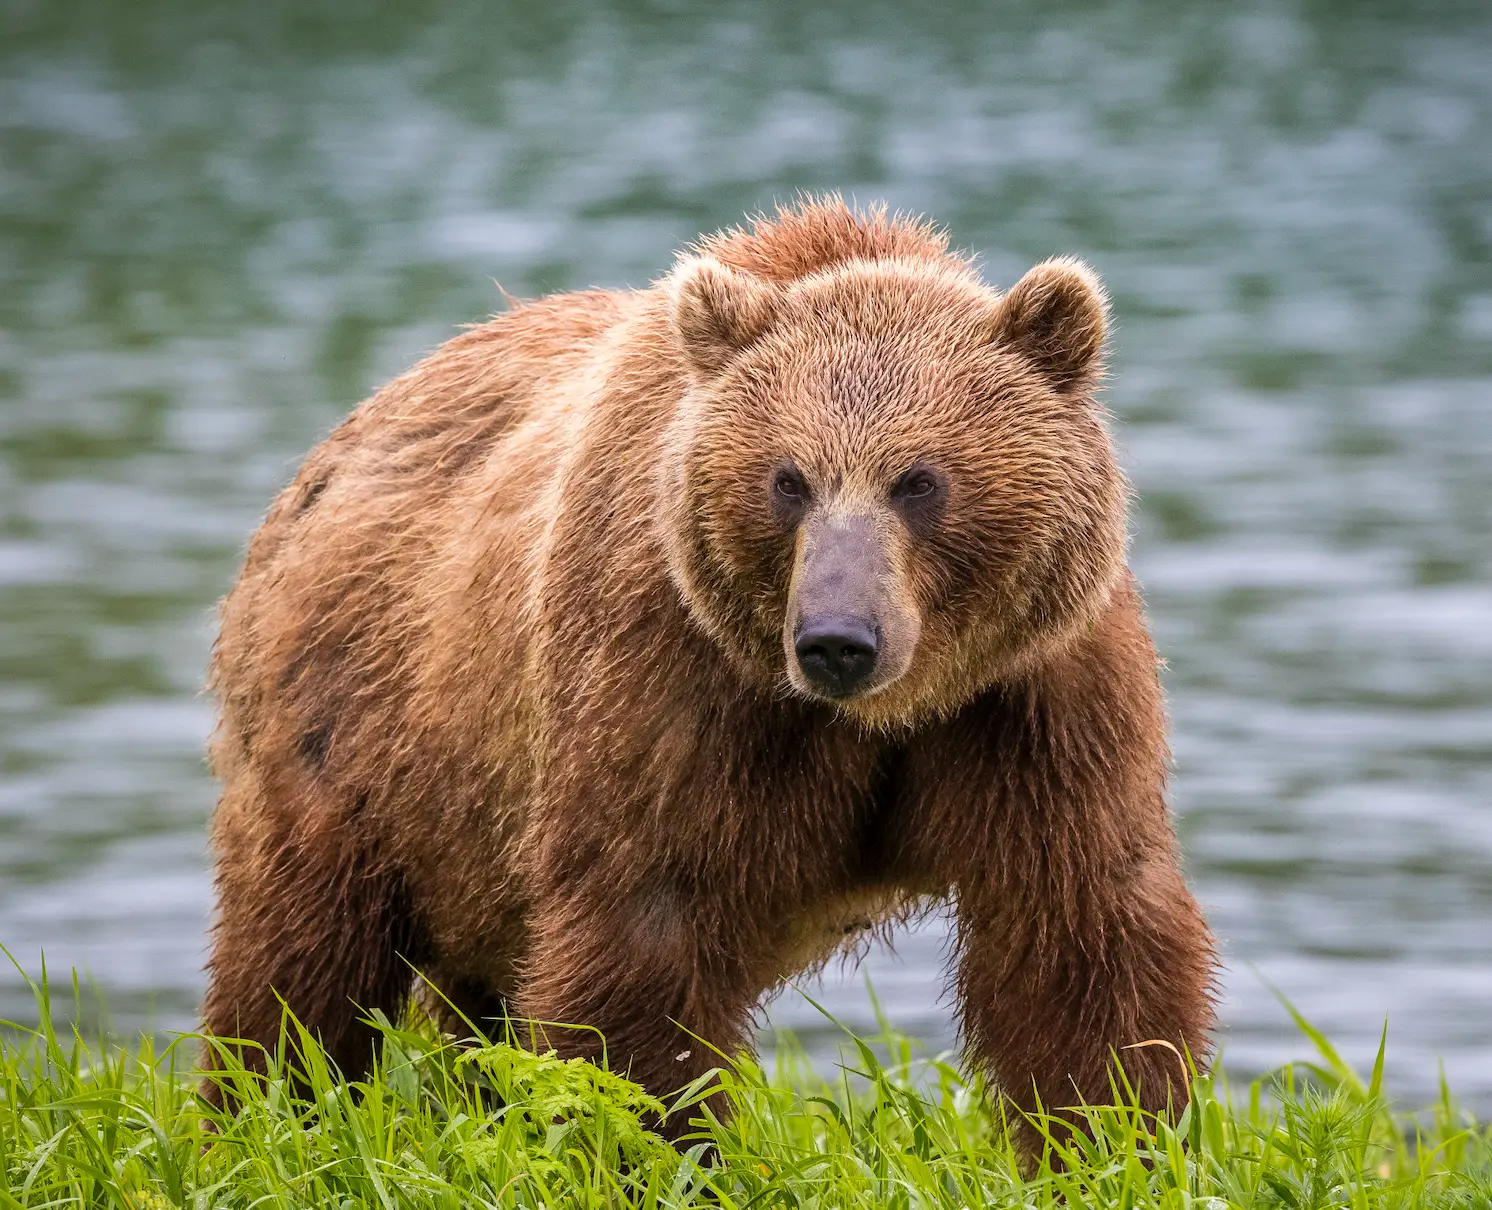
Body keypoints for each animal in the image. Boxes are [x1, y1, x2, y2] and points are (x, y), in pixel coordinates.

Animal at [201, 197, 1216, 1148]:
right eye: (788, 479)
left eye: (920, 479)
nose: (838, 639)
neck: (886, 712)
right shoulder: (675, 671)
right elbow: (647, 929)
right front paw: (666, 1143)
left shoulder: (1031, 691)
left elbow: (1079, 929)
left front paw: (1114, 1136)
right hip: (362, 716)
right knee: (301, 959)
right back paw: (264, 1111)